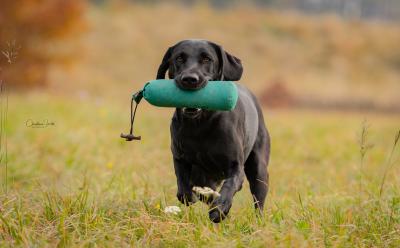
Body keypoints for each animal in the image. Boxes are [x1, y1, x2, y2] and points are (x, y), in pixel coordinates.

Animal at [156, 39, 272, 223]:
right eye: (179, 58)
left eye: (207, 59)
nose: (190, 79)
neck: (199, 124)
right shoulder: (180, 157)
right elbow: (184, 188)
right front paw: (198, 197)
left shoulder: (235, 166)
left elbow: (230, 185)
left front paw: (220, 209)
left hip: (259, 167)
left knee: (258, 200)